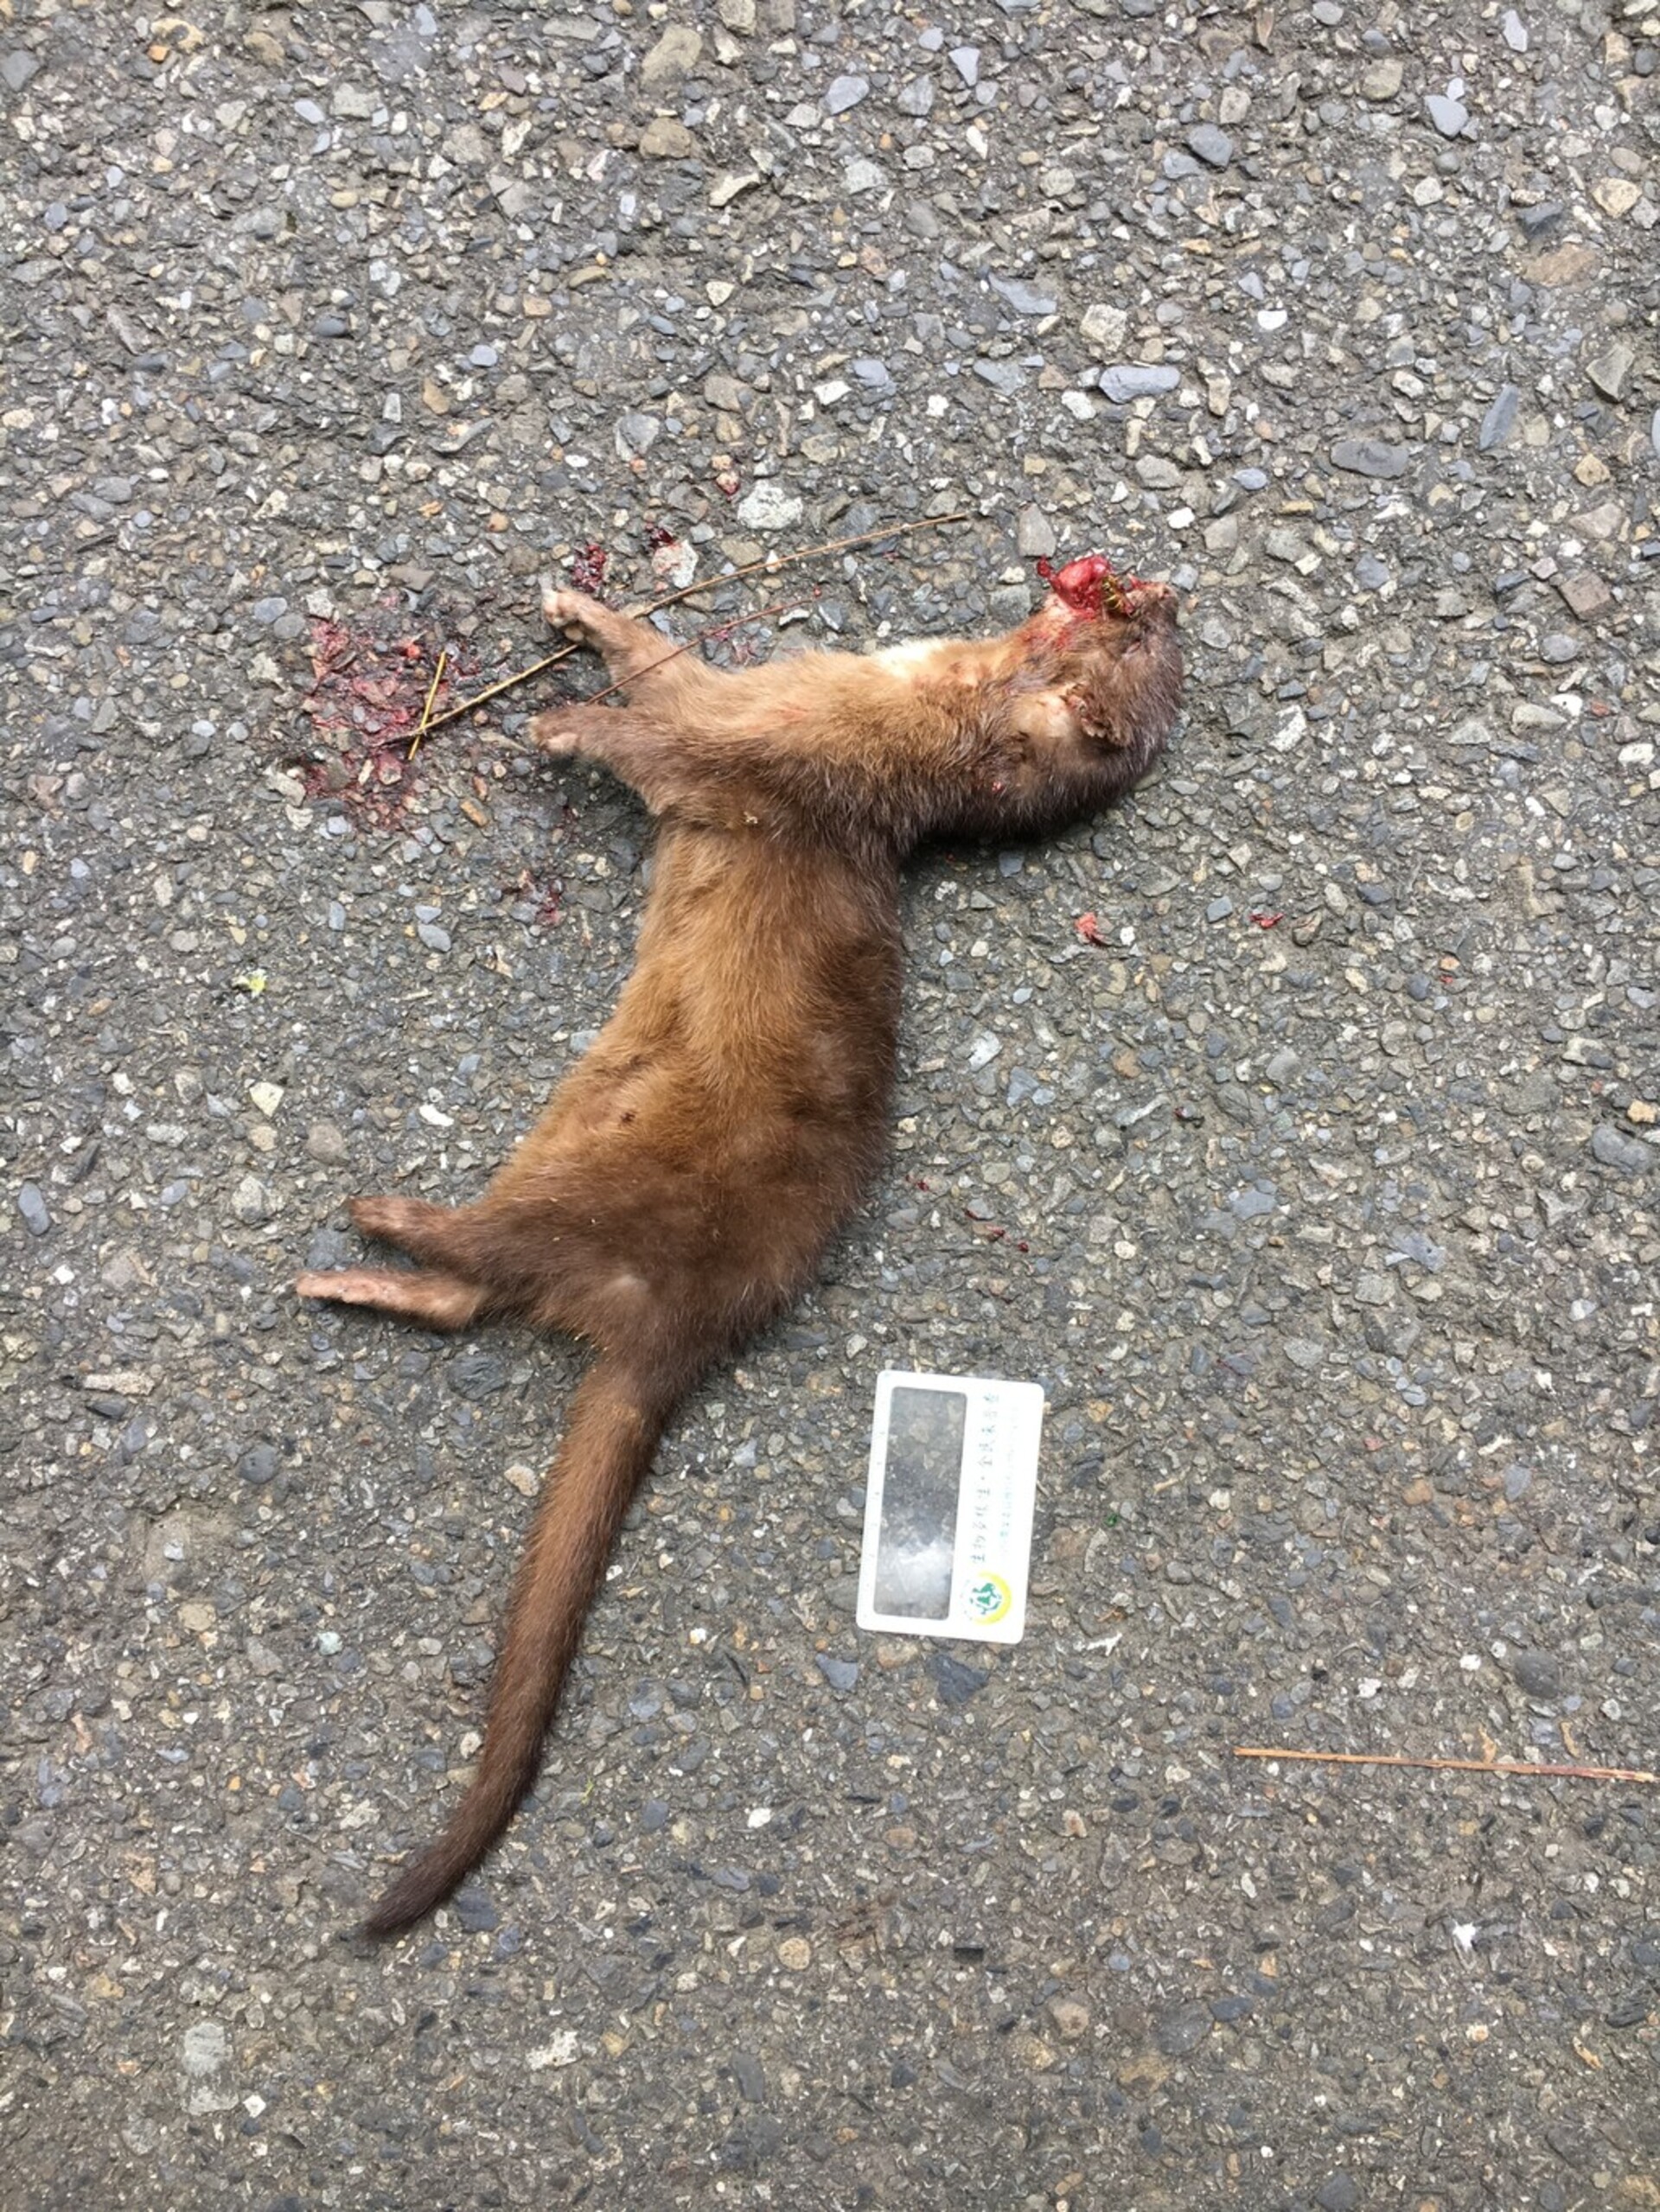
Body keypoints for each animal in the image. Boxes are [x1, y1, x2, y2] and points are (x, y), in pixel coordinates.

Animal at [295, 552, 1183, 1935]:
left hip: (583, 1193)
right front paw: (575, 611)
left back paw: (368, 1224)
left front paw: (558, 723)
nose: (1167, 595)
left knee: (482, 1272)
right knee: (463, 1301)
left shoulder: (752, 750)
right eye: (1140, 626)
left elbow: (653, 742)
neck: (889, 703)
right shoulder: (746, 693)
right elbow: (652, 657)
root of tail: (690, 1317)